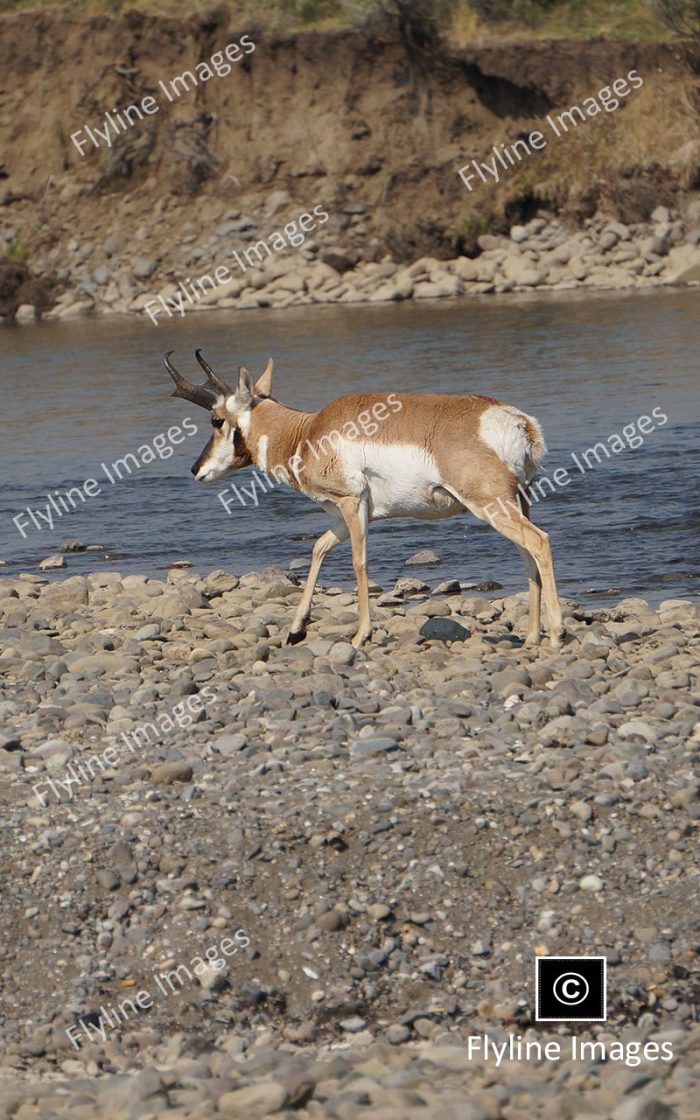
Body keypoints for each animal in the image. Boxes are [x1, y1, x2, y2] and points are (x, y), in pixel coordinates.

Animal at [164, 349, 562, 649]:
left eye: (216, 420)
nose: (195, 469)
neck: (307, 432)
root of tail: (518, 421)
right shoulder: (347, 516)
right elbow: (318, 549)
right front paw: (295, 630)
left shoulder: (350, 503)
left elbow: (359, 562)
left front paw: (360, 635)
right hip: (516, 502)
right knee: (527, 553)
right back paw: (531, 638)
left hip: (490, 505)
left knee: (539, 541)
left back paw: (556, 633)